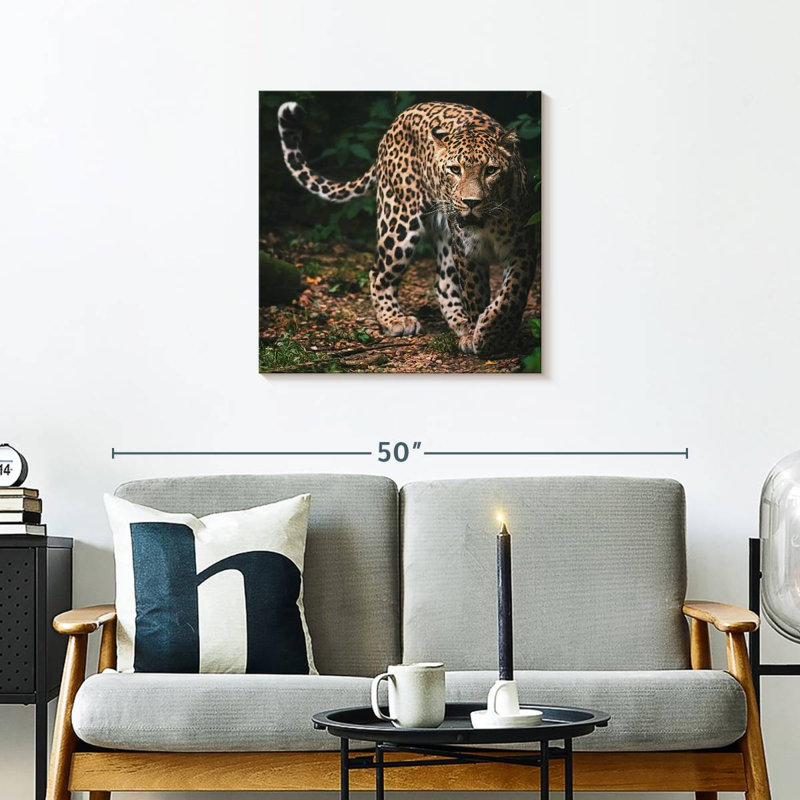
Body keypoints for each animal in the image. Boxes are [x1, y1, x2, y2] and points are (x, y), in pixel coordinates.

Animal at [277, 100, 539, 356]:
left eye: (491, 170)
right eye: (455, 170)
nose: (471, 202)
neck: (488, 222)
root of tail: (398, 120)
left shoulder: (523, 247)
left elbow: (512, 295)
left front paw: (492, 334)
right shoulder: (467, 252)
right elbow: (475, 294)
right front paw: (481, 336)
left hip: (443, 235)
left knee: (443, 283)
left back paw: (461, 325)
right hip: (399, 222)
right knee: (378, 273)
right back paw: (395, 320)